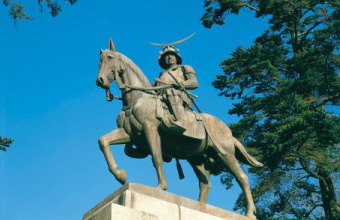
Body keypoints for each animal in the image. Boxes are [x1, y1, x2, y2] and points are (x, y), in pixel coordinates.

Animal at [95, 39, 262, 218]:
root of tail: (228, 131)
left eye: (110, 57)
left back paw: (250, 213)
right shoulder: (129, 133)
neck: (137, 99)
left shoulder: (150, 129)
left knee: (242, 178)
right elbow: (103, 141)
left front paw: (161, 187)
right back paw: (200, 207)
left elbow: (156, 157)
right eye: (100, 60)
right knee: (205, 183)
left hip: (226, 154)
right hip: (197, 158)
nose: (100, 80)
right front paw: (120, 175)